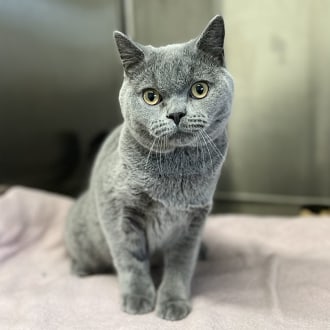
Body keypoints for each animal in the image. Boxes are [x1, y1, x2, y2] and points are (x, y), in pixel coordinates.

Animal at [65, 14, 235, 320]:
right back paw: (80, 269)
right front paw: (138, 298)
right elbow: (130, 260)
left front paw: (173, 302)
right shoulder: (118, 210)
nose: (177, 114)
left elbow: (181, 263)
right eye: (151, 96)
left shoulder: (194, 219)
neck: (175, 174)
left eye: (199, 89)